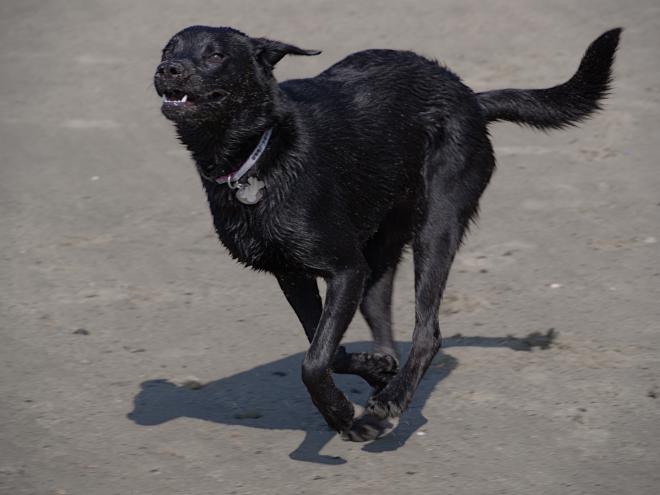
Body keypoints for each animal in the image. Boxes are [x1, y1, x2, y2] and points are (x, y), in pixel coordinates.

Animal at [153, 26, 620, 442]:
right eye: (168, 48)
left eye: (216, 55)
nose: (168, 69)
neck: (259, 152)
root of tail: (470, 98)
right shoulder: (294, 274)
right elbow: (330, 350)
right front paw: (371, 375)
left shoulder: (344, 269)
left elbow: (314, 361)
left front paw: (341, 414)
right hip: (380, 251)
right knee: (385, 323)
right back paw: (386, 383)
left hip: (437, 227)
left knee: (427, 332)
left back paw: (390, 405)